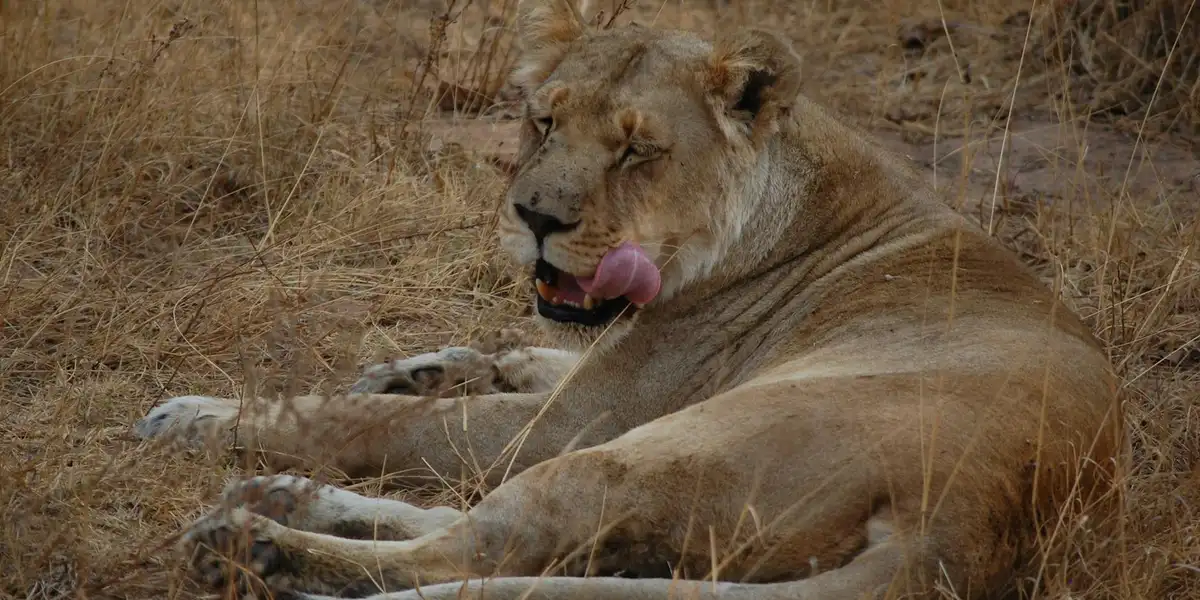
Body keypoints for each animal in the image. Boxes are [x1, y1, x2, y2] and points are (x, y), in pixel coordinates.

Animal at [133, 1, 1129, 599]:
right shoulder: (594, 379)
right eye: (543, 120)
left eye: (636, 150)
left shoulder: (583, 420)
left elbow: (372, 424)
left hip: (650, 452)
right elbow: (507, 363)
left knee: (475, 553)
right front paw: (429, 365)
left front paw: (201, 416)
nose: (534, 216)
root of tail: (966, 529)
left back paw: (256, 543)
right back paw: (281, 498)